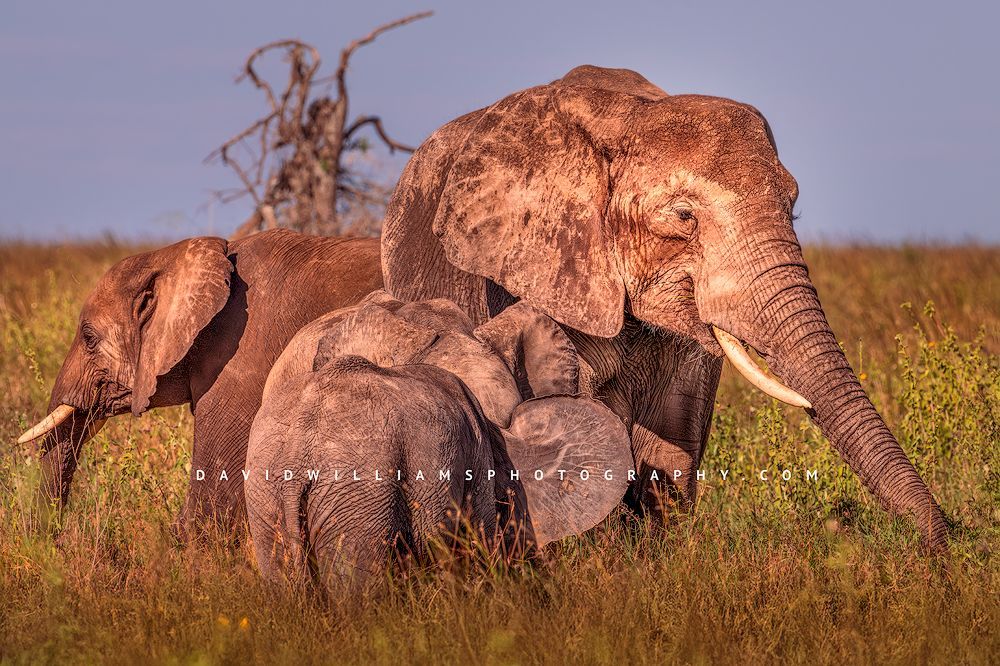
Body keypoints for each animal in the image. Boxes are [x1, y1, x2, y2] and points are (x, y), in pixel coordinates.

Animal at [380, 65, 949, 551]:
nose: (945, 545)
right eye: (682, 217)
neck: (634, 113)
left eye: (793, 207)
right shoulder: (548, 268)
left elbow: (672, 437)